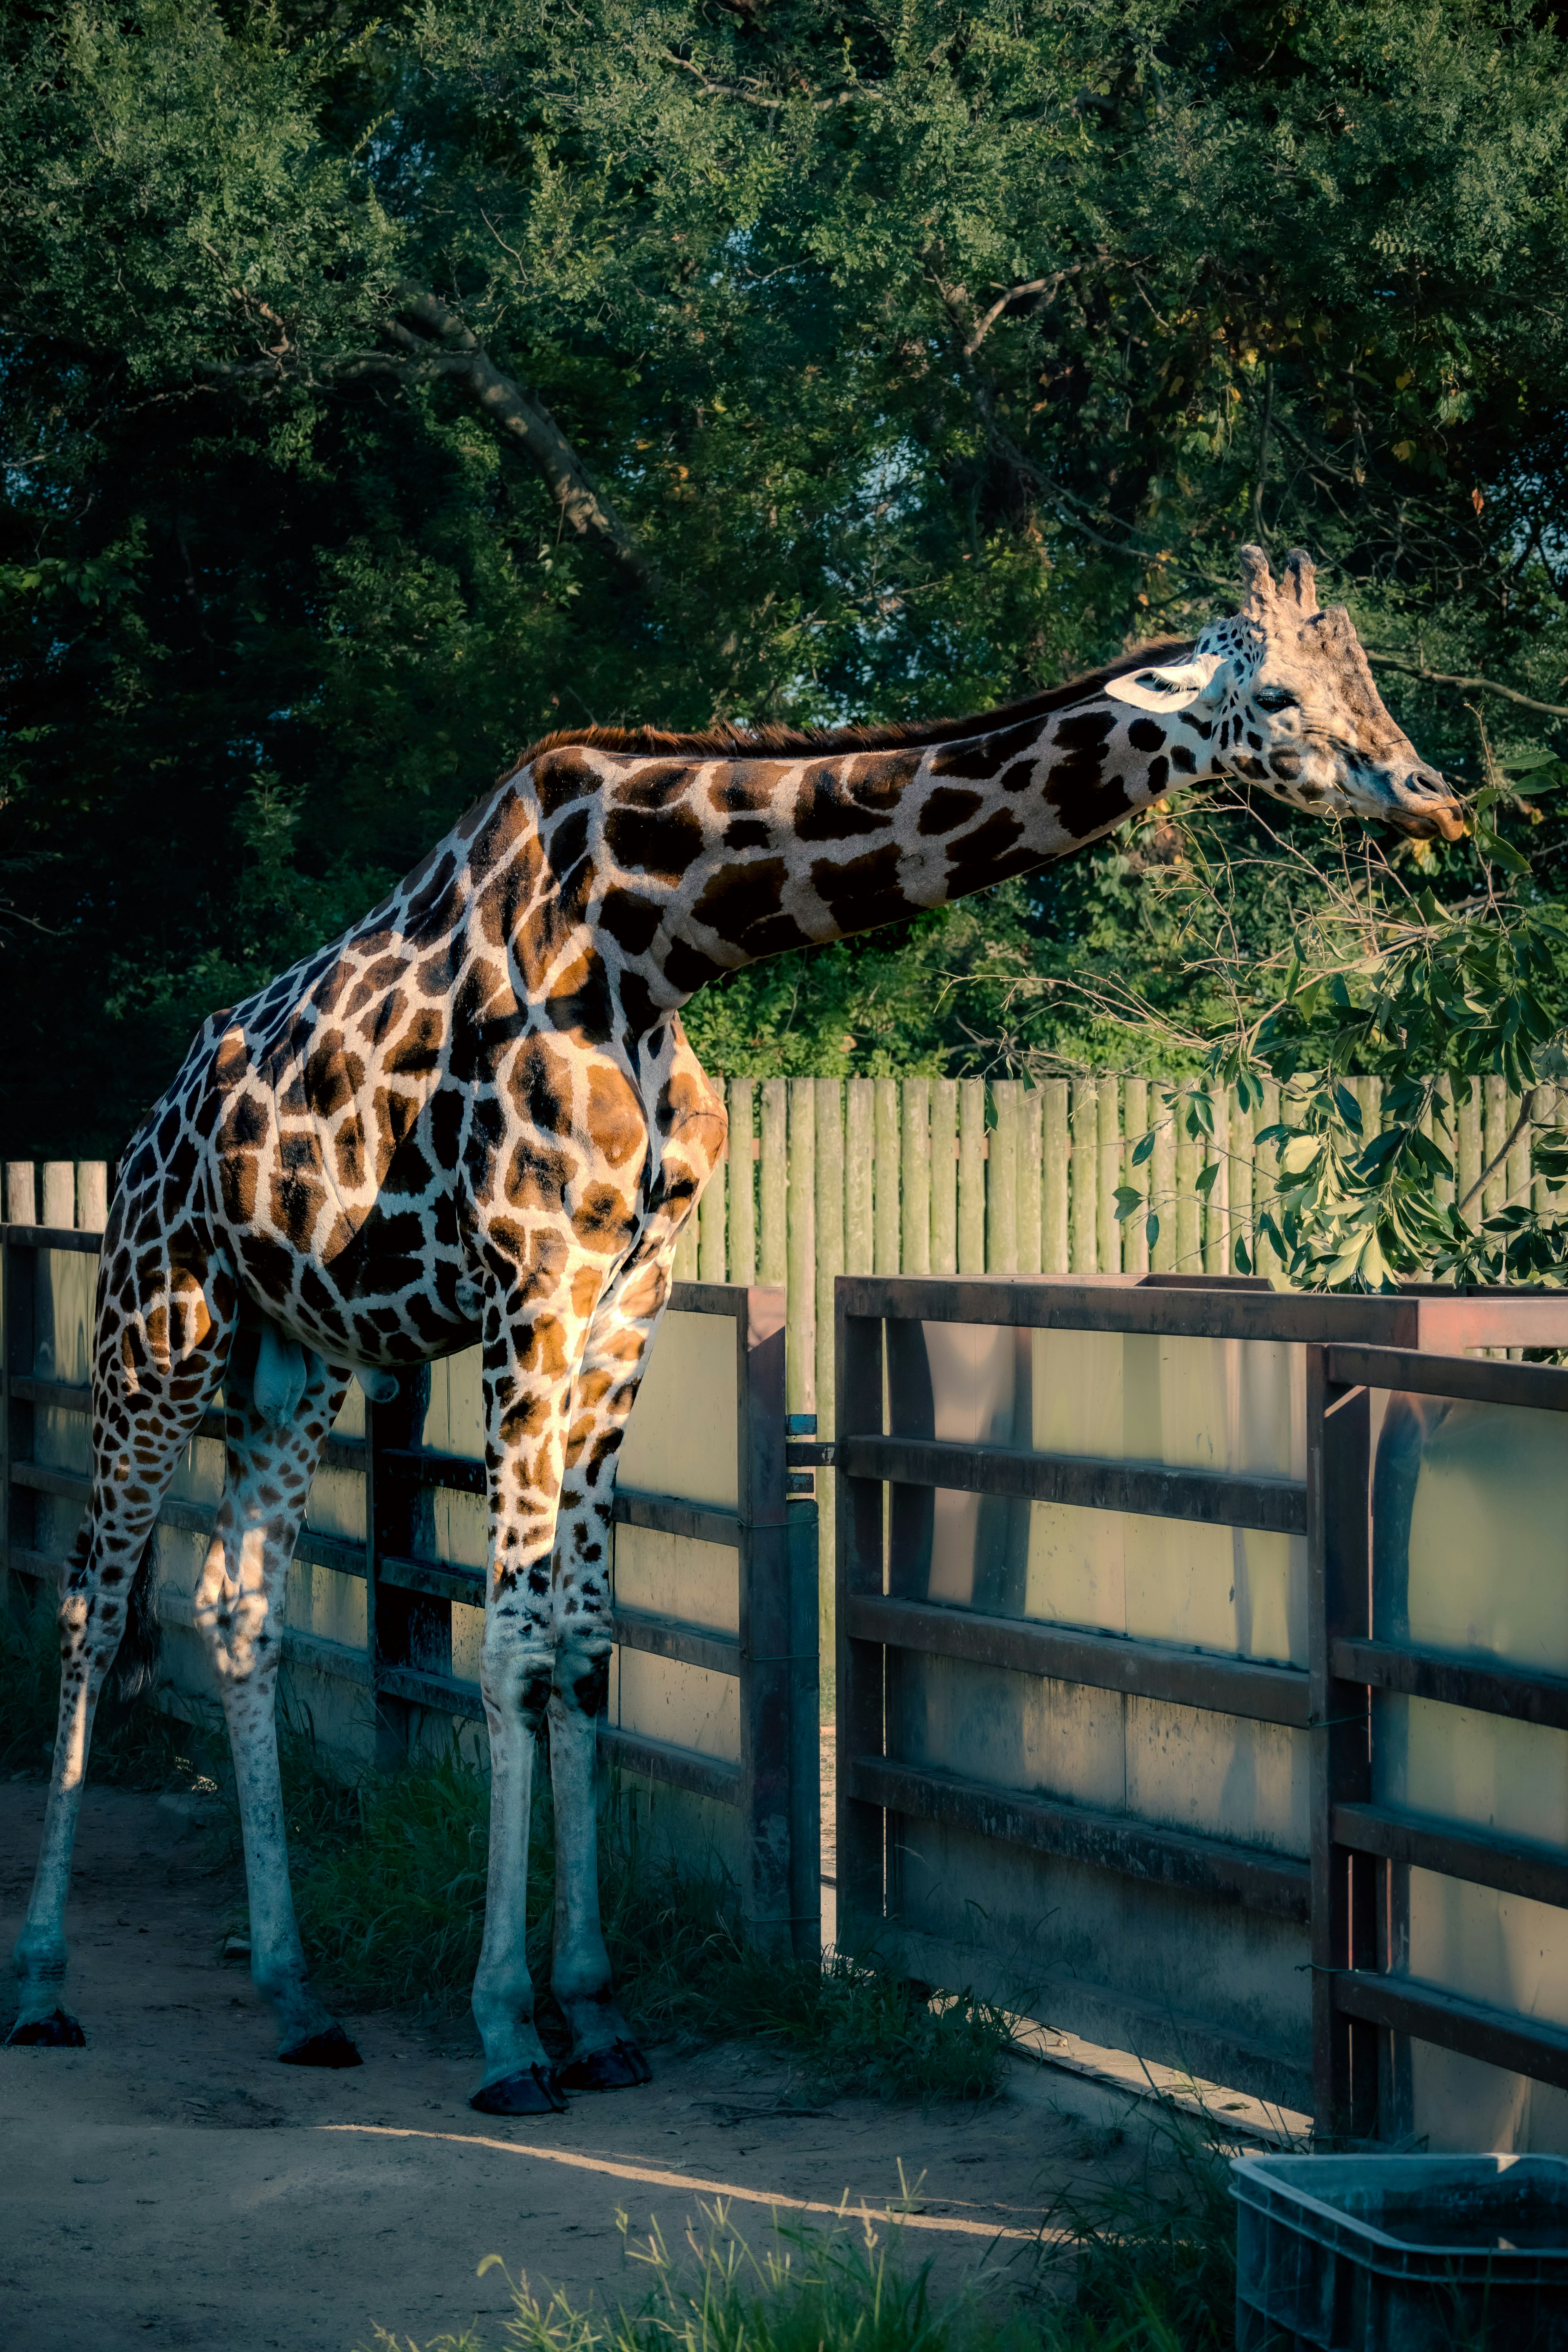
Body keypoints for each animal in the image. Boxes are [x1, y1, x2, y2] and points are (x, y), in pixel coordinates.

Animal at [9, 546, 1457, 2117]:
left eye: (1361, 670)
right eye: (1279, 693)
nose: (1430, 790)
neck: (654, 943)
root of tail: (145, 1133)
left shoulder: (628, 1294)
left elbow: (586, 1635)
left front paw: (594, 2012)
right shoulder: (532, 1283)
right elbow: (509, 1639)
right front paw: (508, 2033)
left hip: (299, 1359)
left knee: (239, 1604)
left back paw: (296, 1998)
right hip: (154, 1330)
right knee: (92, 1604)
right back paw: (44, 1986)